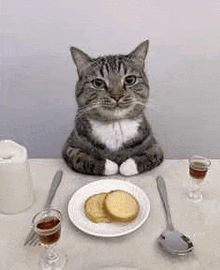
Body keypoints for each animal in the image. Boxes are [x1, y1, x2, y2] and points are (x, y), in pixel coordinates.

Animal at [62, 39, 163, 175]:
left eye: (130, 79)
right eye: (98, 83)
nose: (116, 96)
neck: (116, 125)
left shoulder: (156, 146)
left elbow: (151, 154)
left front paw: (127, 166)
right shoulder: (68, 146)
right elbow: (78, 156)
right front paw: (111, 166)